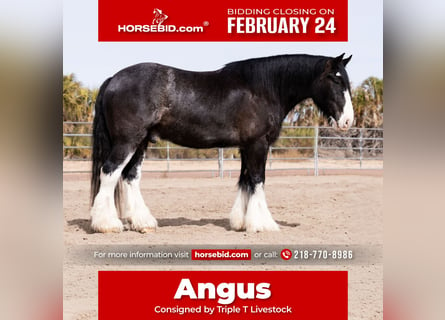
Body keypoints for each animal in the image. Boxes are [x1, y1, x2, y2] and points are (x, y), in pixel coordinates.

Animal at [90, 52, 352, 232]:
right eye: (335, 80)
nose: (348, 121)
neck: (263, 89)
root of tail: (114, 79)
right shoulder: (258, 144)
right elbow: (258, 180)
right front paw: (263, 224)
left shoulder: (247, 146)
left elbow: (245, 180)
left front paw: (241, 221)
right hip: (127, 141)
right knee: (110, 173)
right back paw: (107, 224)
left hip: (141, 142)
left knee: (130, 176)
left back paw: (142, 222)